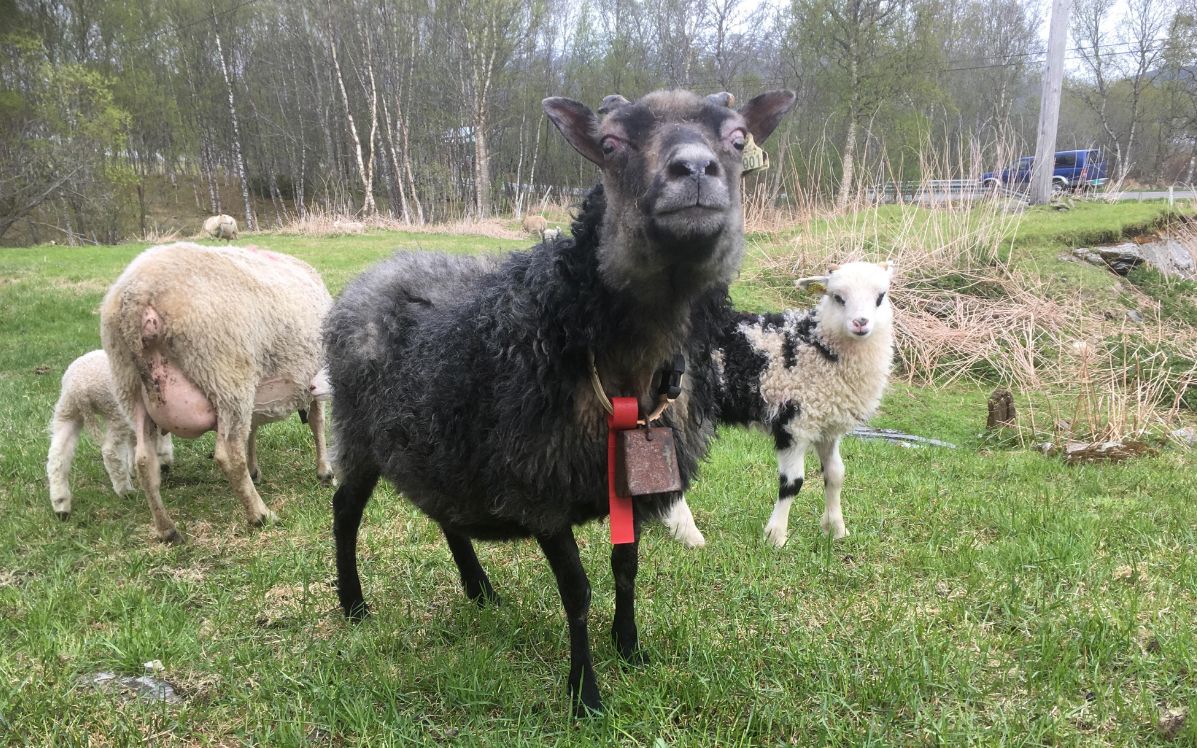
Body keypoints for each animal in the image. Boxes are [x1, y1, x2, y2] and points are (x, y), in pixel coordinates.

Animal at [47, 349, 174, 519]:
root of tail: (80, 388)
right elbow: (160, 436)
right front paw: (164, 460)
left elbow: (135, 441)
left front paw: (135, 467)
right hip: (115, 409)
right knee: (110, 452)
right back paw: (125, 491)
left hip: (67, 410)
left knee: (57, 456)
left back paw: (61, 504)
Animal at [100, 241, 333, 542]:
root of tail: (138, 295)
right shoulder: (312, 379)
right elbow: (318, 423)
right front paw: (325, 472)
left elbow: (255, 429)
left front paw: (255, 469)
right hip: (226, 376)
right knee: (229, 455)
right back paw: (260, 515)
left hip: (131, 388)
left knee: (144, 462)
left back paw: (167, 529)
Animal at [324, 88, 796, 716]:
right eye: (610, 144)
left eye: (738, 139)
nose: (695, 170)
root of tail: (377, 269)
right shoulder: (540, 487)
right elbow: (578, 591)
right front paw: (586, 695)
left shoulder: (626, 482)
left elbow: (626, 568)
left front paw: (630, 647)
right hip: (357, 429)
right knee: (345, 511)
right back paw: (354, 605)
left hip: (438, 432)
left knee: (445, 510)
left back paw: (478, 588)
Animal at [662, 261, 896, 548]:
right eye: (838, 297)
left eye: (880, 297)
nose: (860, 323)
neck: (817, 346)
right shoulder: (794, 422)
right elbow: (792, 483)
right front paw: (776, 536)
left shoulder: (827, 426)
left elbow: (835, 475)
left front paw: (836, 529)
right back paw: (689, 533)